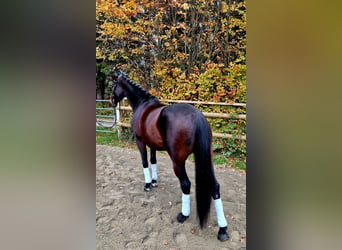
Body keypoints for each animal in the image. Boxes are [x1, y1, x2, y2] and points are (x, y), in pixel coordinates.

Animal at [108, 71, 228, 242]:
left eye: (114, 84)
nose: (111, 100)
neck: (143, 105)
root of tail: (196, 115)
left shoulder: (140, 141)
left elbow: (145, 162)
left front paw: (147, 185)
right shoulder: (152, 145)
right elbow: (153, 161)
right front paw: (154, 181)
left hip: (177, 162)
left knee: (186, 184)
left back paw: (183, 215)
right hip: (207, 162)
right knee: (215, 186)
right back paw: (222, 229)